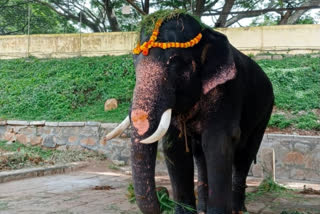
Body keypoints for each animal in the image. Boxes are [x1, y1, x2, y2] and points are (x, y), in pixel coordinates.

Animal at [105, 11, 276, 214]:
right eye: (134, 63)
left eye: (174, 62)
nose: (163, 194)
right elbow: (174, 148)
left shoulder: (228, 91)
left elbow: (218, 142)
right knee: (201, 156)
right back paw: (203, 207)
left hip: (265, 111)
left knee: (245, 154)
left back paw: (238, 209)